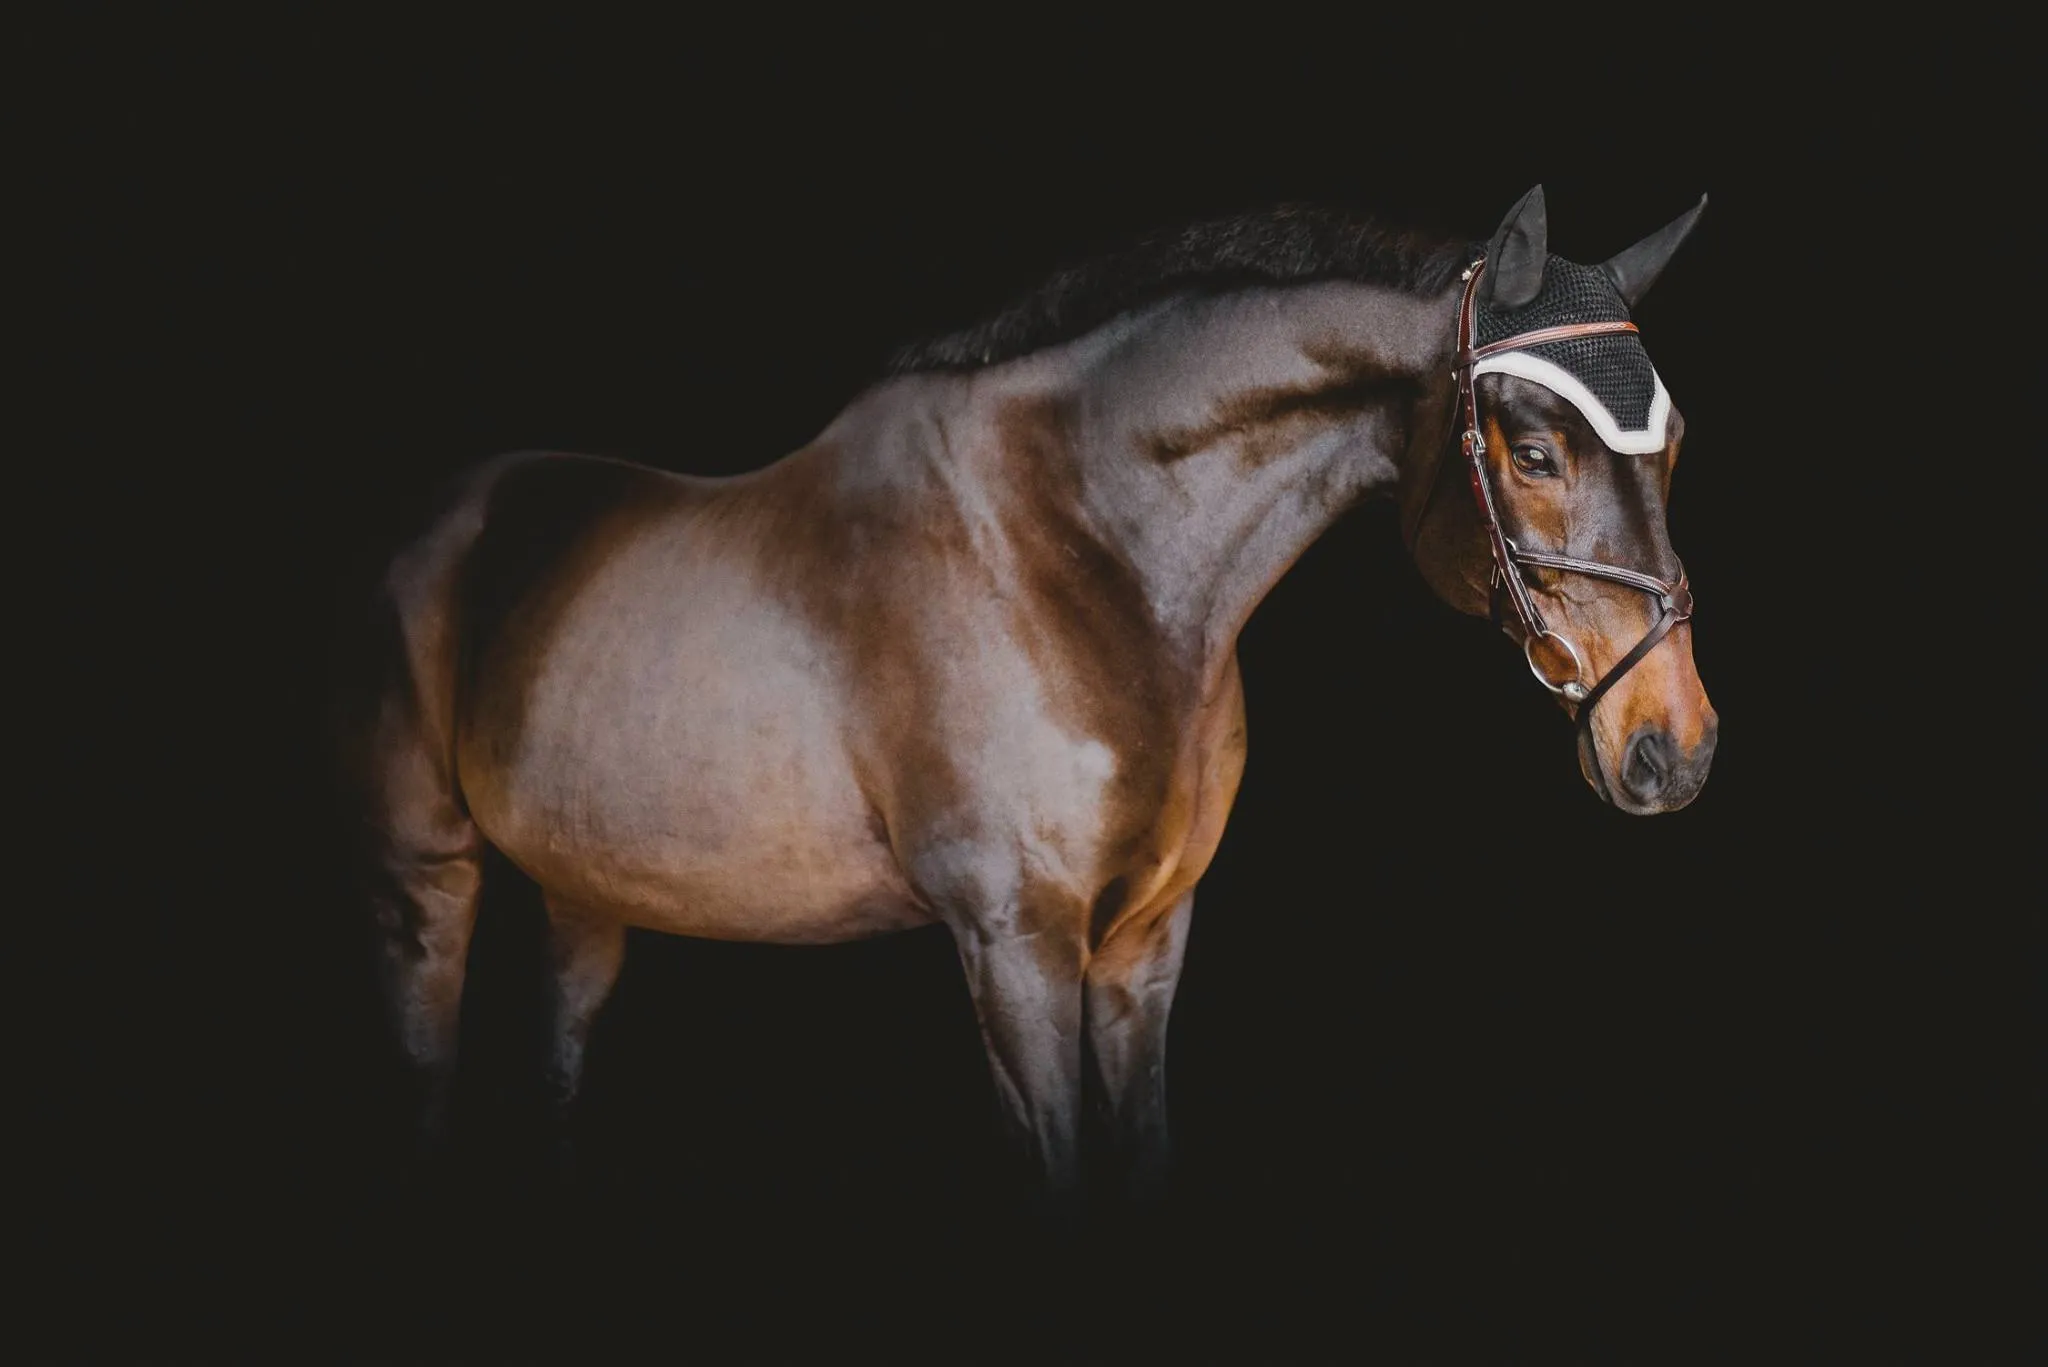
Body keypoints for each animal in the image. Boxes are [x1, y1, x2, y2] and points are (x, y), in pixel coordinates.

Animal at [335, 184, 1717, 1204]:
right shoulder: (1014, 945)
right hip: (422, 883)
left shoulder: (1145, 942)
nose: (1674, 746)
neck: (1076, 553)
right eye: (1531, 452)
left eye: (1673, 446)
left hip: (584, 893)